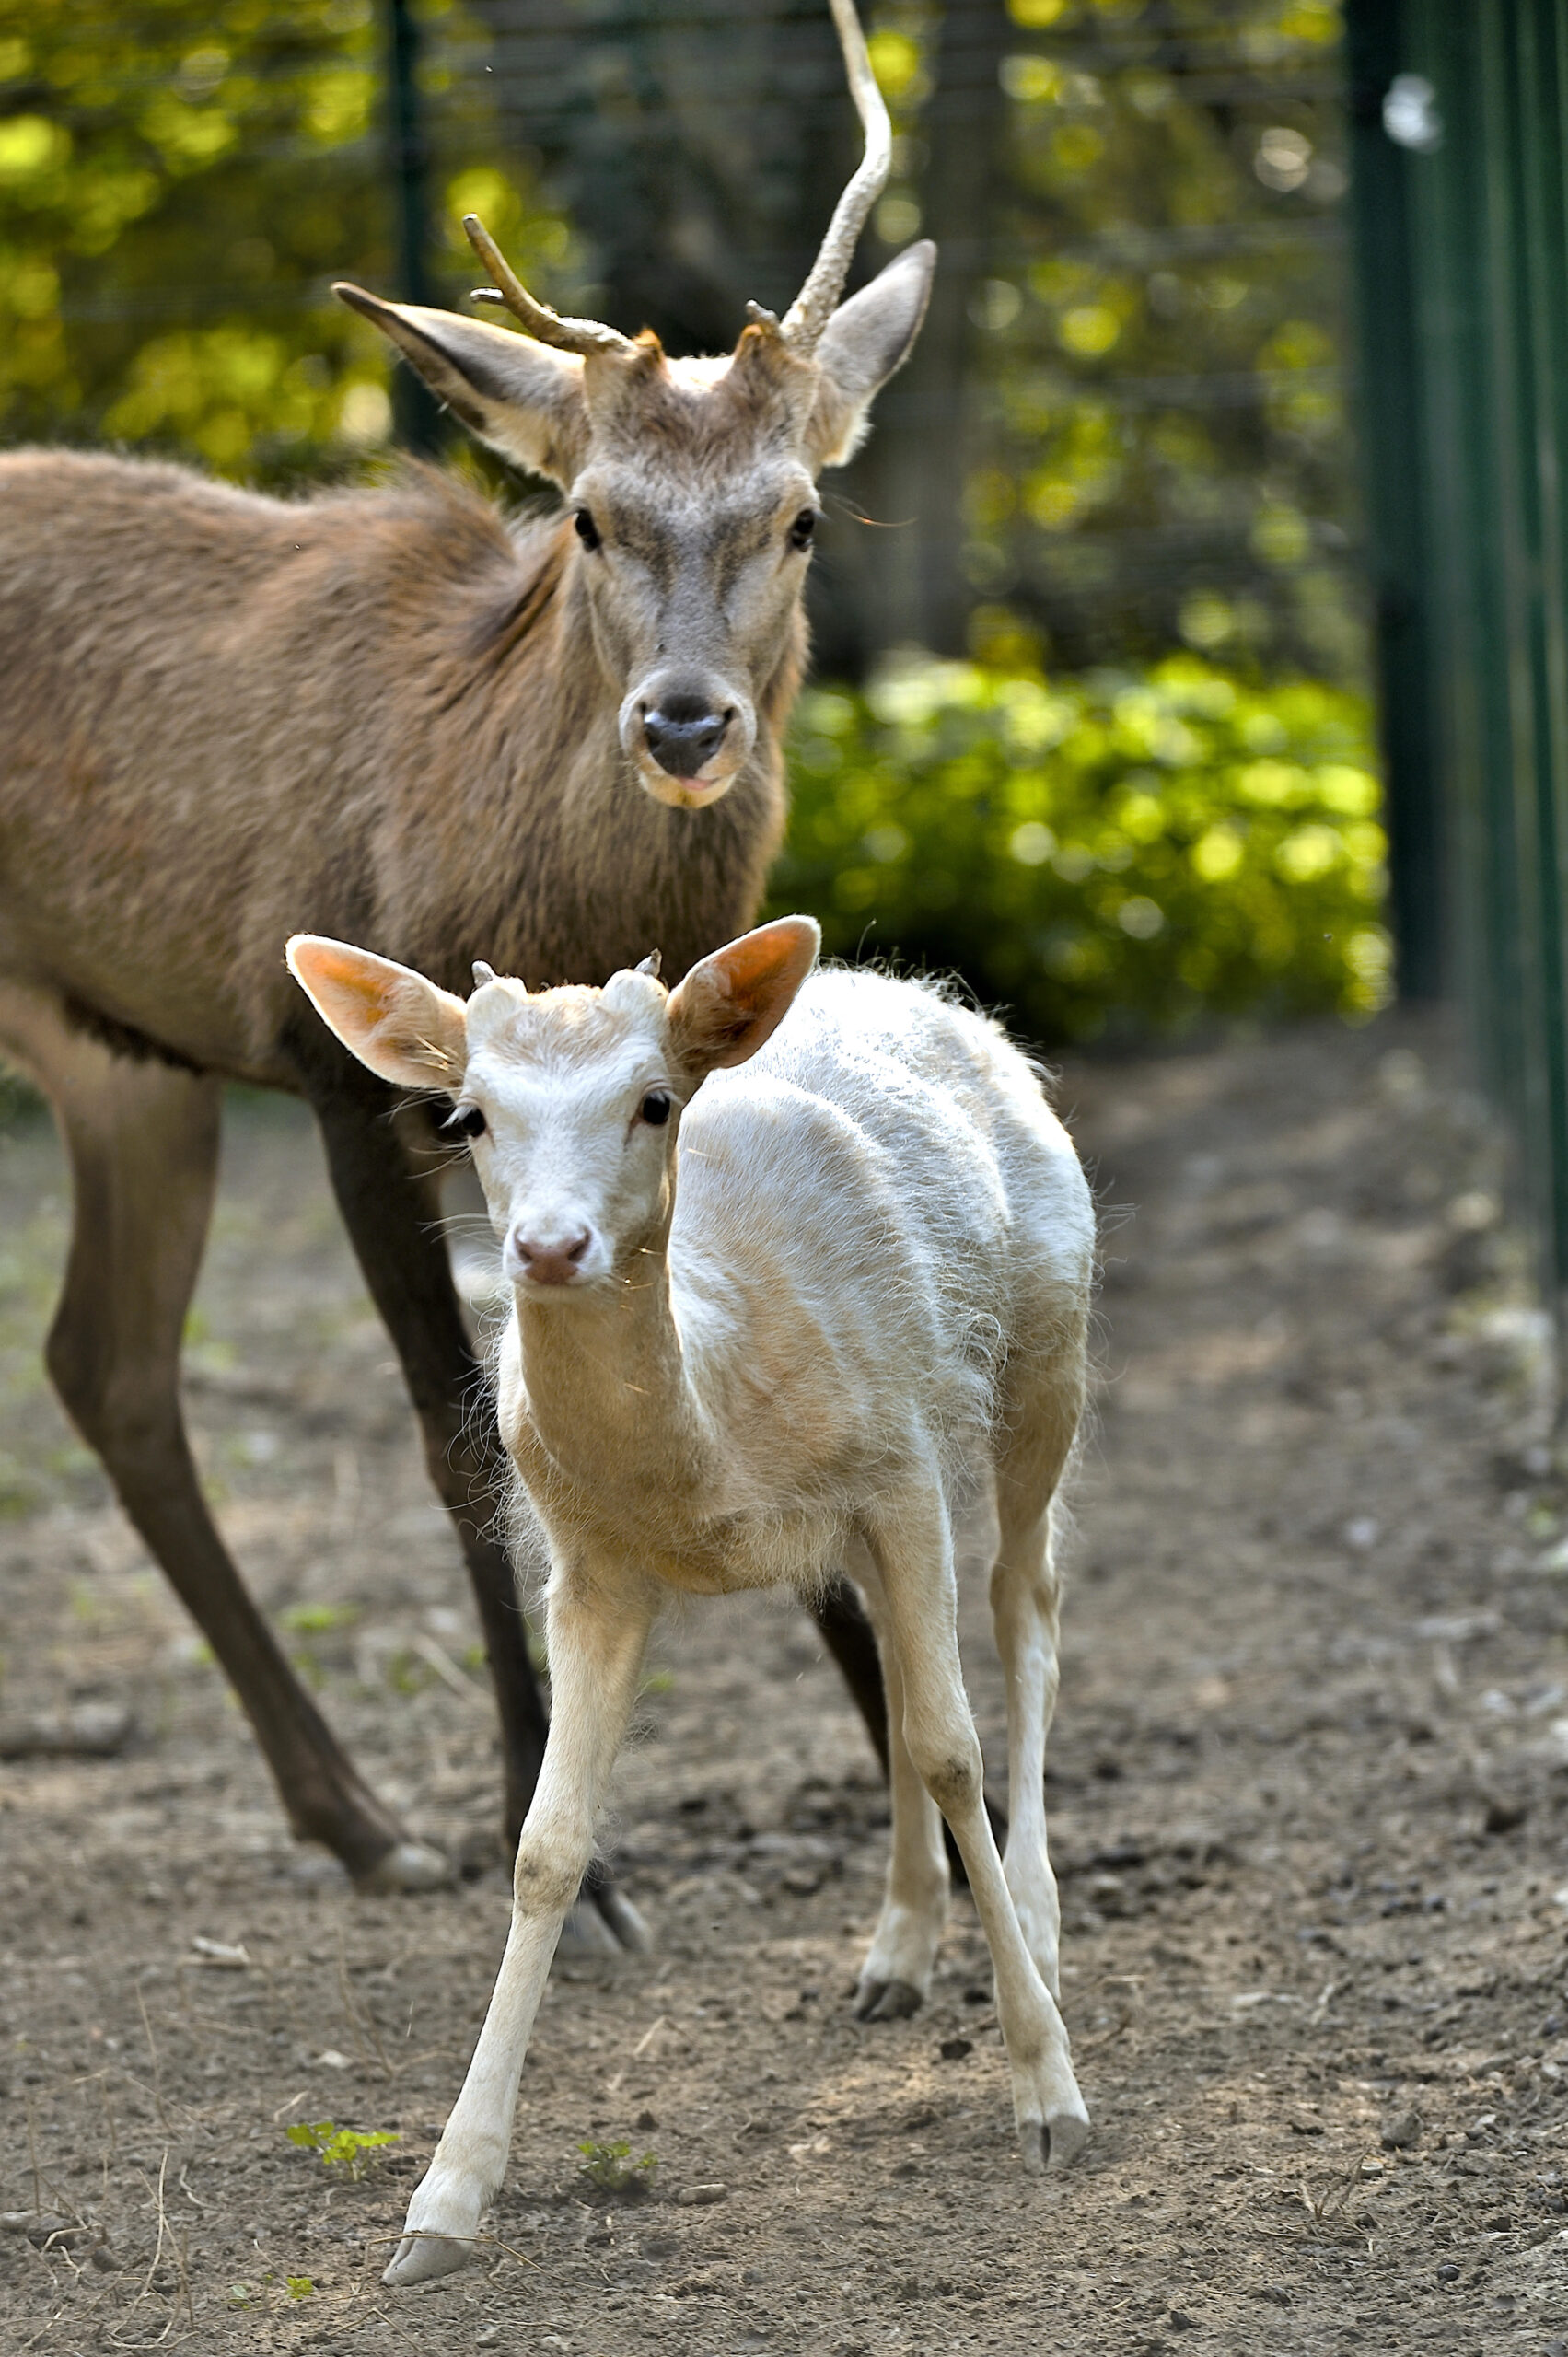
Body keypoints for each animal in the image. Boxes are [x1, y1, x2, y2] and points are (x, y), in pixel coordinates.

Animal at [0, 0, 928, 1922]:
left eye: (799, 514)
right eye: (587, 515)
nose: (682, 720)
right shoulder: (337, 1078)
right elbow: (458, 1446)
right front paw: (565, 1841)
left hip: (119, 1061)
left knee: (102, 1366)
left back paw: (352, 1815)